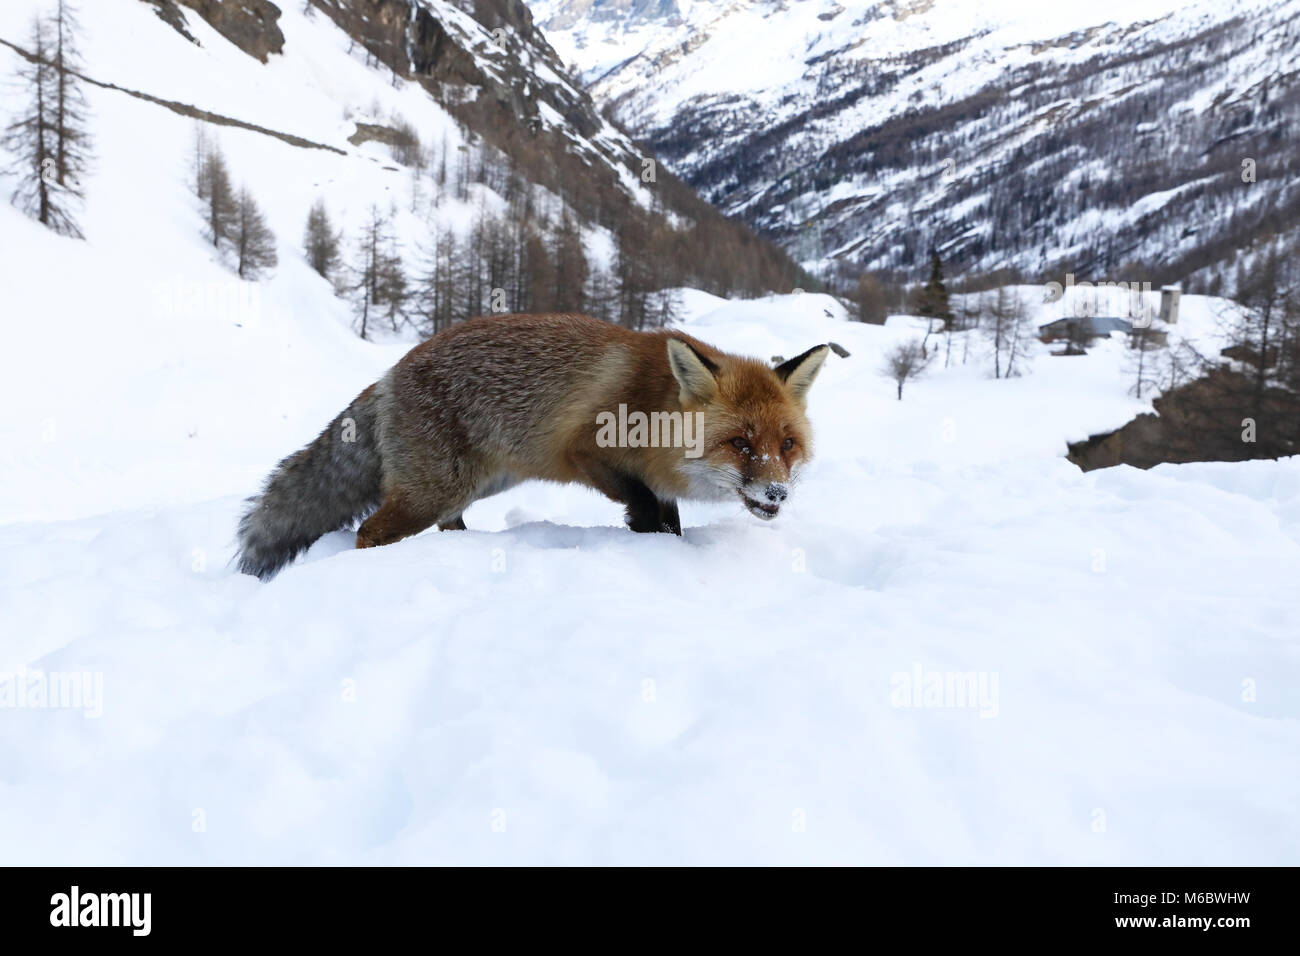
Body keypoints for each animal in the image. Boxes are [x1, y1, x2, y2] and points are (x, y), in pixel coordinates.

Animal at [237, 312, 826, 574]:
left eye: (786, 445)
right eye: (739, 443)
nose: (777, 494)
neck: (654, 410)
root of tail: (388, 375)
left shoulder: (657, 479)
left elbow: (669, 517)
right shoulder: (585, 450)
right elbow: (644, 508)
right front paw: (648, 539)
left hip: (470, 489)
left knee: (443, 525)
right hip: (433, 492)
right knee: (367, 532)